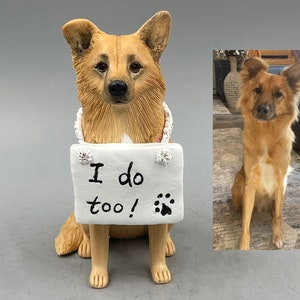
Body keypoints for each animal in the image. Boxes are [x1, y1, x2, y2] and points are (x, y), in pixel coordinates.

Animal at [55, 12, 176, 288]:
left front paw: (160, 271)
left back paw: (168, 244)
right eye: (102, 66)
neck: (122, 123)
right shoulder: (98, 213)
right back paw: (85, 247)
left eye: (135, 66)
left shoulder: (158, 213)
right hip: (83, 215)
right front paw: (98, 275)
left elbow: (155, 248)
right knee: (89, 237)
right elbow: (101, 249)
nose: (117, 87)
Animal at [232, 57, 300, 250]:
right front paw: (243, 244)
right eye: (257, 90)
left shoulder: (280, 180)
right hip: (239, 180)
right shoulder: (250, 182)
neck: (266, 135)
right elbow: (246, 222)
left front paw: (277, 236)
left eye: (278, 94)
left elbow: (278, 215)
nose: (262, 109)